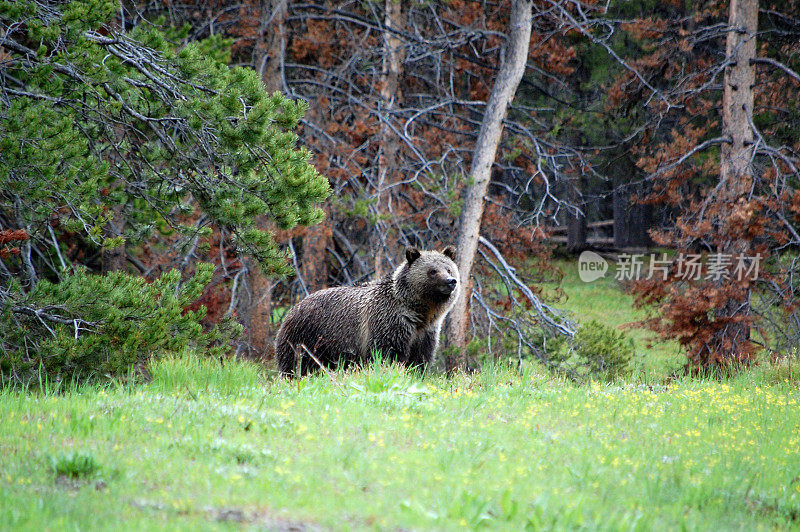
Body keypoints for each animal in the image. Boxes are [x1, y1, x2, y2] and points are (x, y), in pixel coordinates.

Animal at [276, 246, 460, 376]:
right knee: (296, 364)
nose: (451, 281)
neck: (419, 311)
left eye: (448, 268)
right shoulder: (389, 323)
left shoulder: (425, 332)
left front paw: (415, 374)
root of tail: (293, 308)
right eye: (432, 271)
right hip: (306, 337)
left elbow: (420, 360)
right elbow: (387, 355)